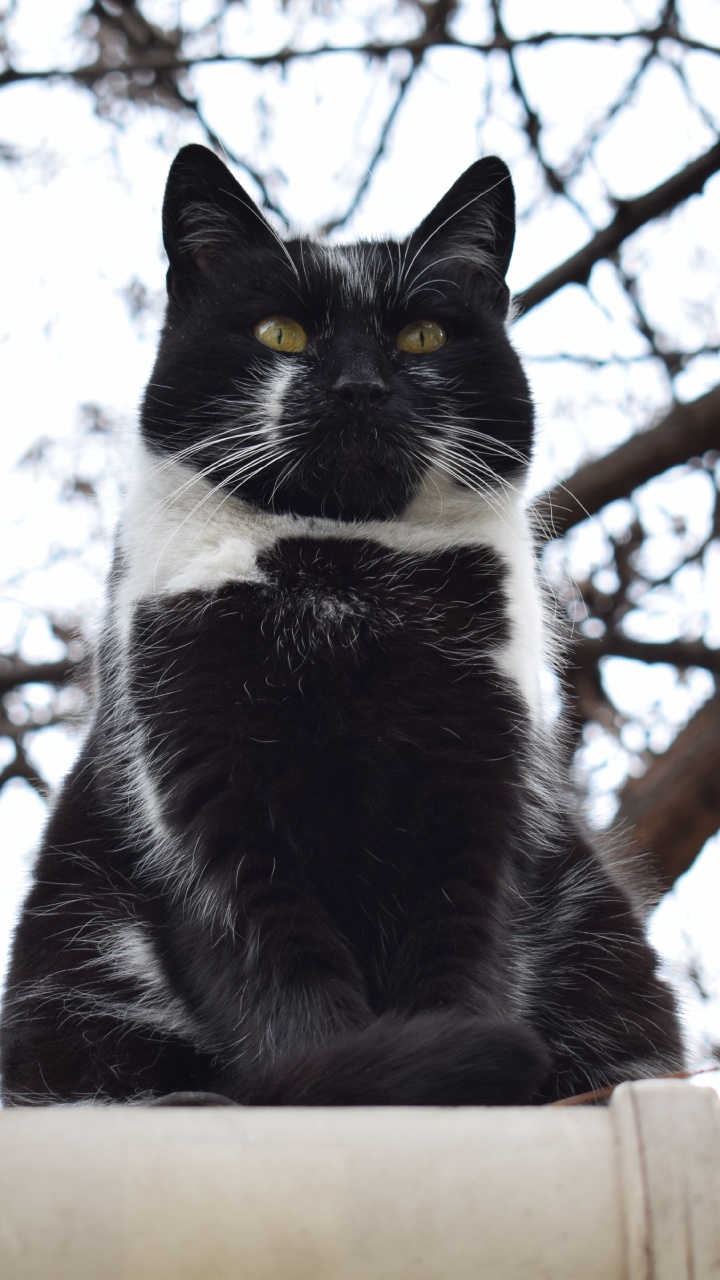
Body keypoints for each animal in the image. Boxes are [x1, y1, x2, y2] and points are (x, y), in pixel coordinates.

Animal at [0, 145, 681, 1105]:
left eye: (423, 337)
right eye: (280, 334)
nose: (360, 385)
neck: (341, 574)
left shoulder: (479, 789)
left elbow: (460, 950)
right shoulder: (204, 794)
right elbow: (281, 981)